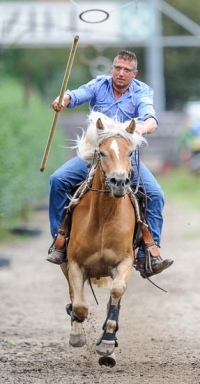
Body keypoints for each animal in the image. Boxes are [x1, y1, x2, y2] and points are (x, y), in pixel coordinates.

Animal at [60, 111, 145, 366]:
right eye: (104, 152)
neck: (104, 217)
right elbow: (79, 305)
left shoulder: (124, 262)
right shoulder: (74, 264)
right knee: (74, 295)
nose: (119, 182)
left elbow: (116, 293)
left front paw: (107, 341)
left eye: (129, 153)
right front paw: (77, 335)